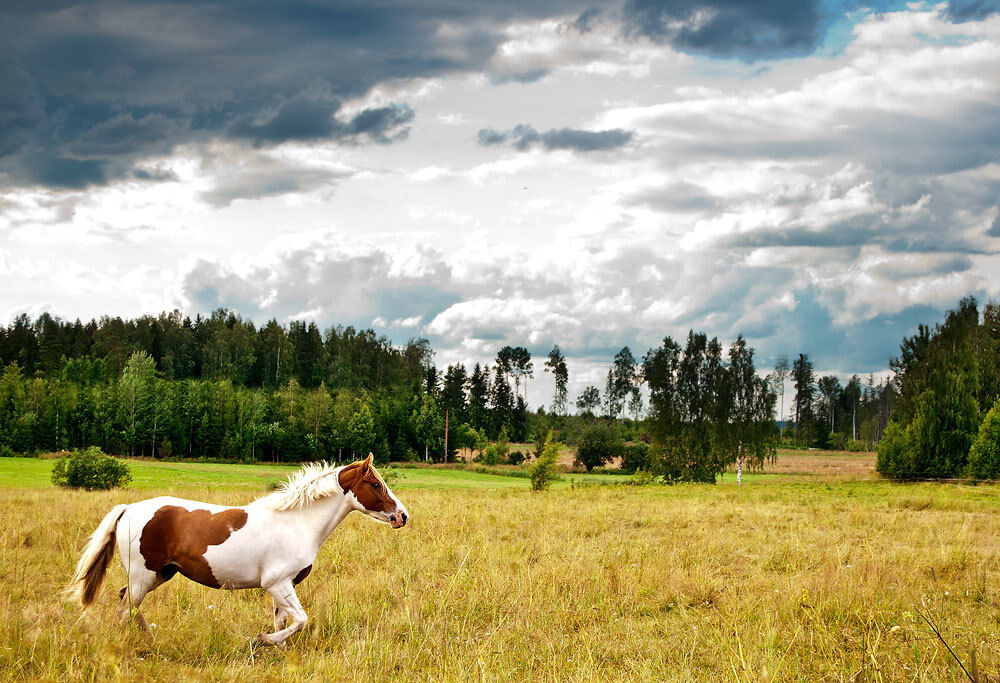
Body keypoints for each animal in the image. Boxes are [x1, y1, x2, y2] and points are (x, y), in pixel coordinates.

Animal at [68, 453, 408, 646]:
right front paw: (260, 640)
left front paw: (276, 651)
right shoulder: (278, 583)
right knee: (126, 608)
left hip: (160, 574)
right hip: (143, 575)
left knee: (128, 605)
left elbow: (283, 622)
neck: (296, 522)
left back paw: (151, 641)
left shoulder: (282, 587)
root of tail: (129, 508)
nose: (402, 516)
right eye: (376, 484)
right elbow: (300, 620)